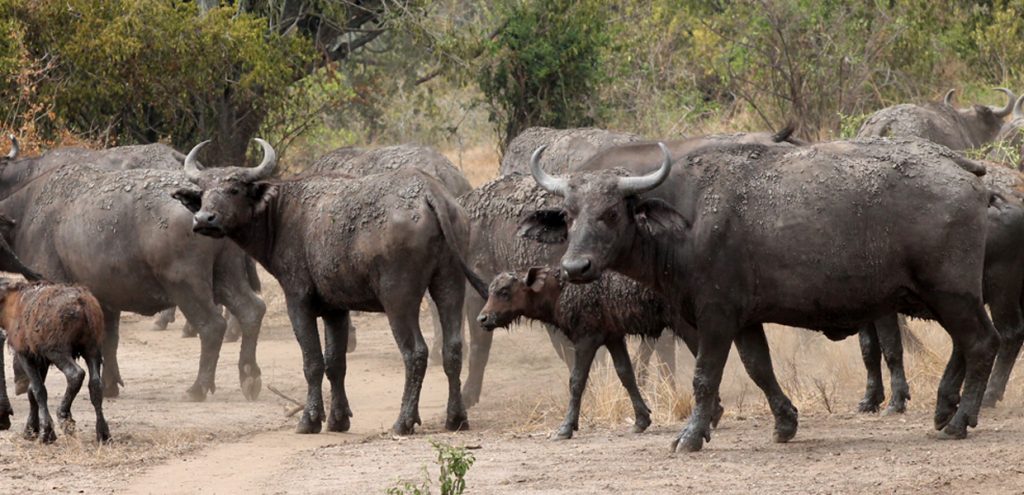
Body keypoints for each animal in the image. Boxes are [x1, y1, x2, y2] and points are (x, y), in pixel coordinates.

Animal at [0, 160, 268, 401]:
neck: (25, 213)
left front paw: (23, 379)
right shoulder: (105, 299)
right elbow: (108, 340)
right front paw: (109, 385)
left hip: (185, 285)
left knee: (212, 326)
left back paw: (198, 388)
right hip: (226, 275)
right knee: (251, 310)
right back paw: (250, 376)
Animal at [0, 278, 110, 444]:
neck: (11, 302)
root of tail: (82, 302)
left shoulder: (25, 355)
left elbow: (38, 390)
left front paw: (46, 432)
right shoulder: (42, 359)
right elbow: (31, 391)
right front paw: (31, 429)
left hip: (58, 352)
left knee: (75, 374)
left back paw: (65, 417)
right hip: (92, 350)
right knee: (96, 385)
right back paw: (103, 433)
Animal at [175, 138, 487, 434]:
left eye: (234, 190)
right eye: (203, 191)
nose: (204, 219)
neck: (283, 213)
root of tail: (429, 193)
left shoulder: (298, 301)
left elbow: (313, 362)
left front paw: (310, 419)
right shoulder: (336, 309)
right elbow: (335, 363)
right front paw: (338, 419)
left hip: (399, 299)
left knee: (416, 353)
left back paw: (404, 421)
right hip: (450, 286)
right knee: (453, 348)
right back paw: (456, 417)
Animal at [528, 137, 999, 450]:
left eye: (611, 213)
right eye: (568, 214)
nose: (576, 267)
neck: (687, 218)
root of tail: (962, 167)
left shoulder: (715, 316)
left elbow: (704, 377)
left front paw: (691, 435)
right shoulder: (746, 320)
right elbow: (759, 369)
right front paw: (785, 422)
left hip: (950, 293)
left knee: (981, 342)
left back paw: (959, 419)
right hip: (940, 297)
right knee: (965, 344)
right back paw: (946, 408)